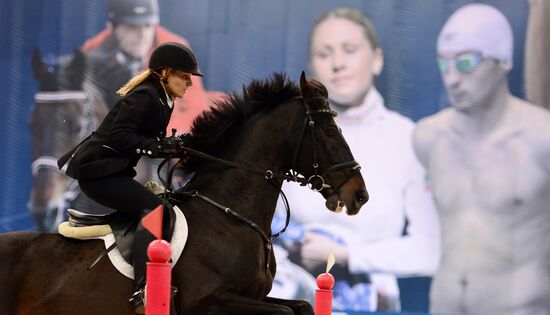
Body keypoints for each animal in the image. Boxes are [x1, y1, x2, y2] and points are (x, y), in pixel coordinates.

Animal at [3, 73, 370, 314]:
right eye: (328, 129)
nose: (360, 195)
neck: (230, 213)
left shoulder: (255, 296)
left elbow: (301, 306)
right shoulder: (210, 301)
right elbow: (285, 312)